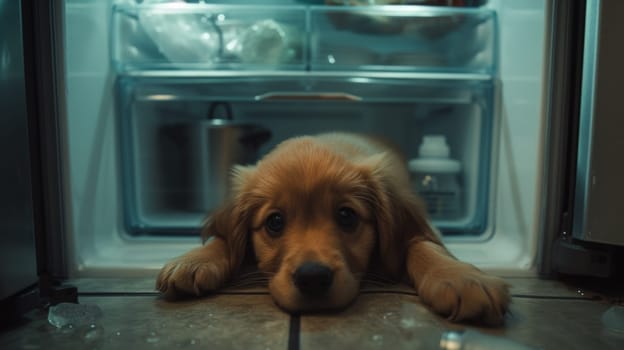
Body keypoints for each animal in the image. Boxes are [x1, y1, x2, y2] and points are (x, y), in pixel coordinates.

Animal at [155, 132, 508, 326]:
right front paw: (195, 259)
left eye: (347, 216)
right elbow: (225, 239)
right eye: (275, 222)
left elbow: (422, 244)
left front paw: (460, 278)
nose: (312, 278)